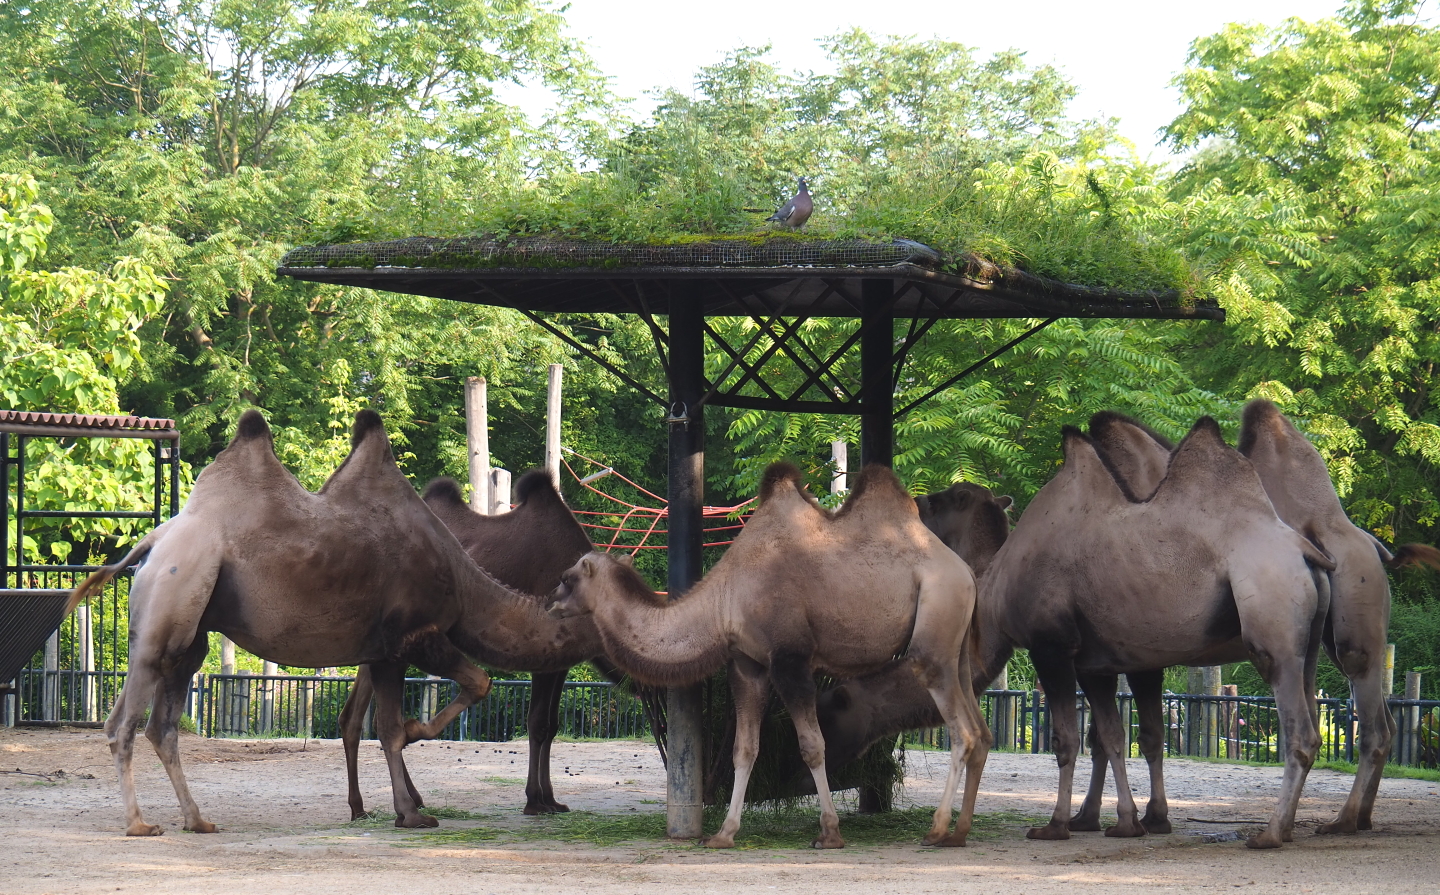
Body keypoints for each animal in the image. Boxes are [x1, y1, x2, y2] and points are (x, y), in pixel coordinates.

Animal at [68, 409, 513, 835]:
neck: (462, 581)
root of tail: (152, 541)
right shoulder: (412, 636)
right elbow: (431, 705)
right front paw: (411, 804)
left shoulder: (383, 649)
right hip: (168, 605)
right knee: (123, 720)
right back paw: (139, 824)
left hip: (187, 636)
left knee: (162, 723)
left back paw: (197, 820)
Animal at [339, 470, 620, 819]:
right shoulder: (546, 650)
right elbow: (539, 723)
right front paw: (535, 800)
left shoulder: (561, 663)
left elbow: (552, 725)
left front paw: (551, 800)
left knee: (358, 715)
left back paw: (369, 805)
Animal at [546, 463, 990, 849]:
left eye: (568, 578)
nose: (549, 602)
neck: (726, 597)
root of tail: (965, 573)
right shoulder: (748, 663)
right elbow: (744, 749)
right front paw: (723, 834)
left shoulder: (790, 658)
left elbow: (812, 745)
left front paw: (829, 832)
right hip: (955, 646)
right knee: (981, 732)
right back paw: (960, 832)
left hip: (935, 619)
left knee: (961, 730)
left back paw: (936, 830)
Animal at [820, 418, 1336, 849]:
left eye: (949, 498)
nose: (918, 504)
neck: (995, 582)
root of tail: (1306, 551)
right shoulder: (1098, 661)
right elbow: (1112, 736)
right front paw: (1125, 822)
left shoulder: (1051, 646)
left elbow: (1066, 740)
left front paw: (1056, 825)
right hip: (1308, 645)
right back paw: (1295, 827)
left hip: (1273, 626)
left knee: (1301, 731)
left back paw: (1271, 833)